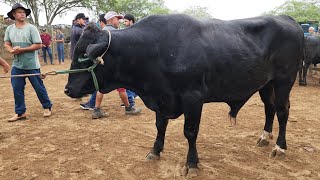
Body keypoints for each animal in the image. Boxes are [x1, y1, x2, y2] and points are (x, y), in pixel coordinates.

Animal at [63, 14, 304, 177]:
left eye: (84, 56)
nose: (68, 89)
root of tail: (287, 19)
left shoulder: (193, 98)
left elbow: (190, 132)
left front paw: (192, 163)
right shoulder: (161, 99)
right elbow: (160, 126)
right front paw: (155, 151)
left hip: (284, 80)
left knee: (282, 111)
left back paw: (279, 147)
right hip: (266, 84)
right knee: (269, 108)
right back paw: (264, 137)